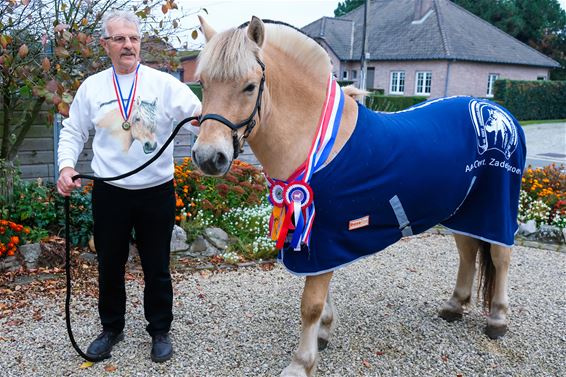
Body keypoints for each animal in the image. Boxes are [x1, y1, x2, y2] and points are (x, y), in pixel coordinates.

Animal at [192, 16, 528, 374]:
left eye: (250, 86)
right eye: (203, 82)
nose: (209, 157)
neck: (316, 142)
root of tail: (500, 111)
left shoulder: (323, 235)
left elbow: (310, 303)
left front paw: (301, 363)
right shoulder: (316, 239)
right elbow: (320, 295)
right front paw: (324, 333)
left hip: (495, 206)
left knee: (500, 256)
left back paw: (497, 320)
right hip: (462, 210)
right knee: (468, 251)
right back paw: (454, 305)